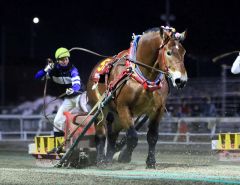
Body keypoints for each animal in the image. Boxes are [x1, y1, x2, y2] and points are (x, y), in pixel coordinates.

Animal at [86, 26, 188, 168]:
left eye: (183, 52)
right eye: (168, 52)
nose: (181, 80)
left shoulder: (157, 110)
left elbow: (152, 136)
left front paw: (150, 162)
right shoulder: (124, 107)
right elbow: (132, 137)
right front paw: (124, 156)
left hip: (116, 115)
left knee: (112, 135)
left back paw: (109, 158)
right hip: (100, 109)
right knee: (101, 134)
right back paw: (101, 160)